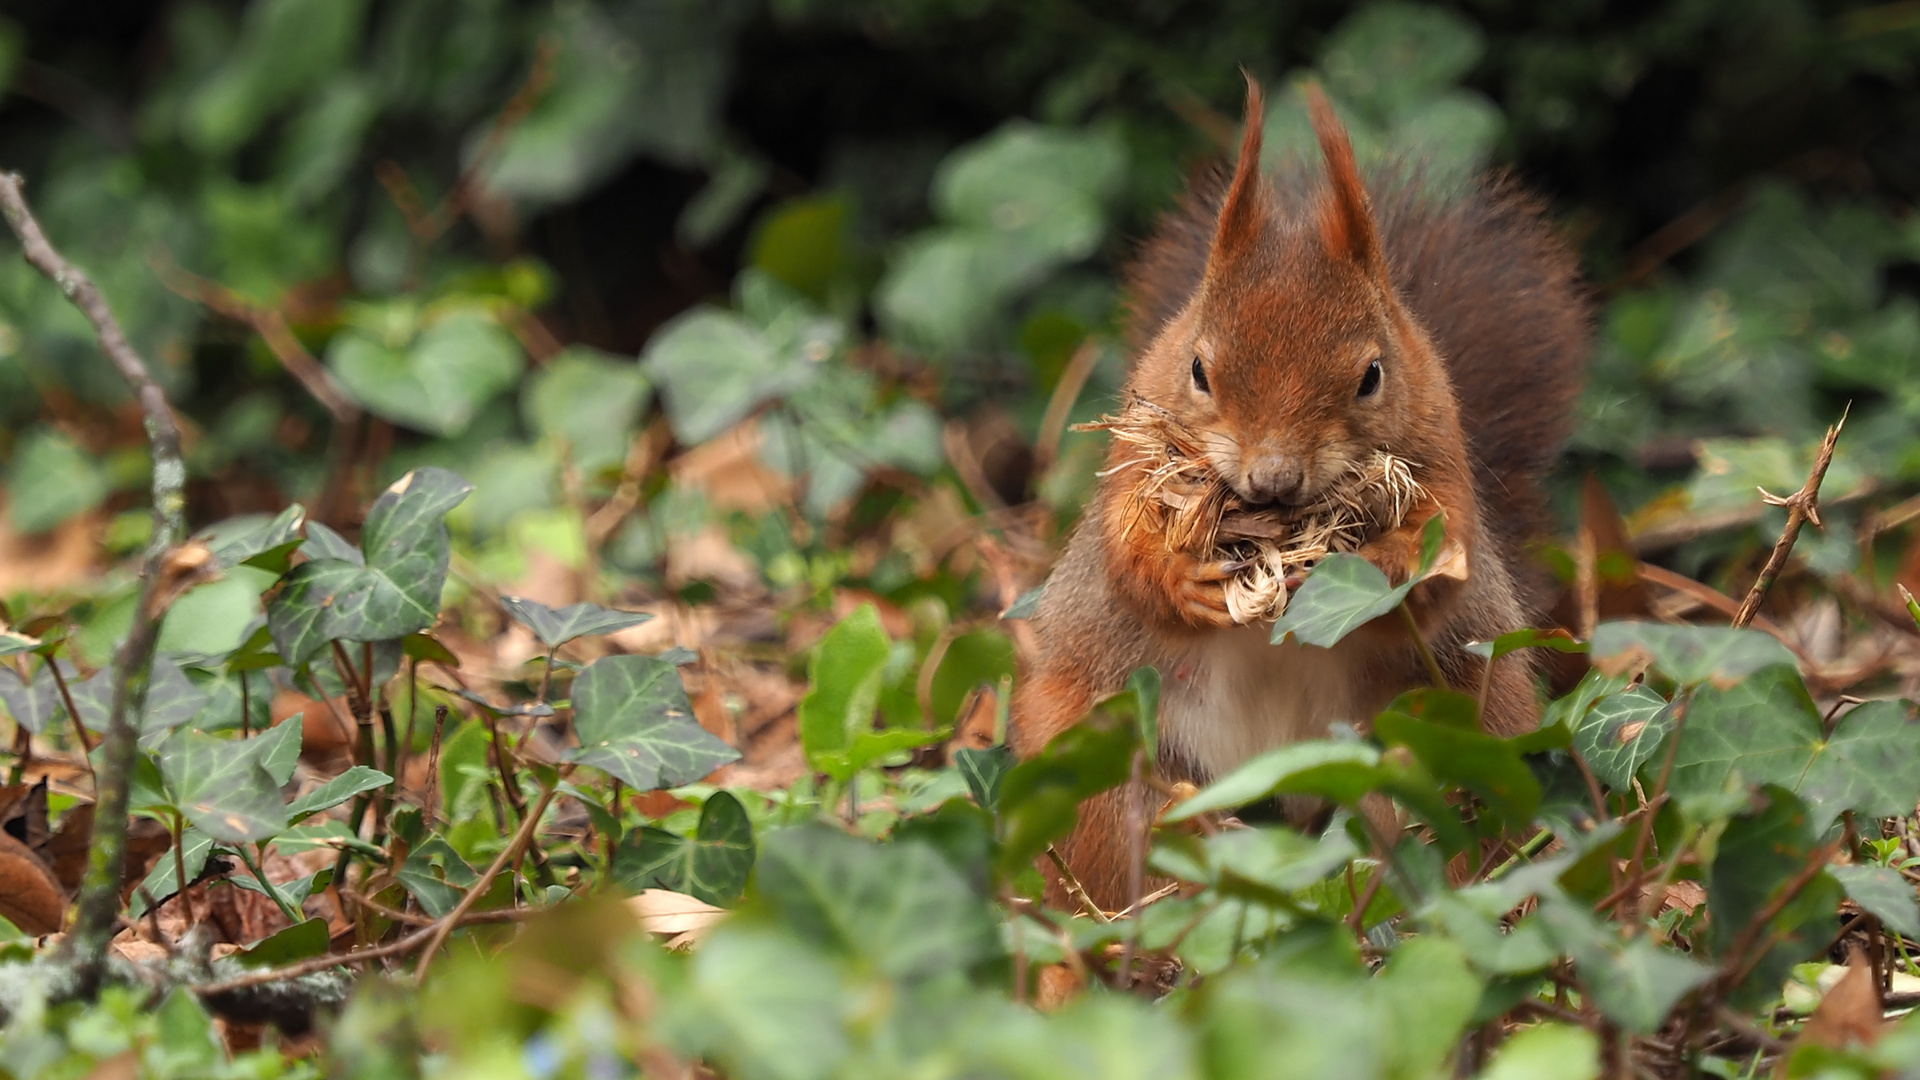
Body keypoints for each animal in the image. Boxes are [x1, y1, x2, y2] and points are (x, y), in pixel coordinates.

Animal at [1006, 82, 1589, 907]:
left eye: (1372, 375)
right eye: (1198, 369)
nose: (1273, 477)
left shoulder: (1443, 459)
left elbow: (1439, 566)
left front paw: (1367, 572)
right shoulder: (1131, 454)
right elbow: (1127, 550)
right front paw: (1183, 579)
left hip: (1461, 738)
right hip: (1092, 752)